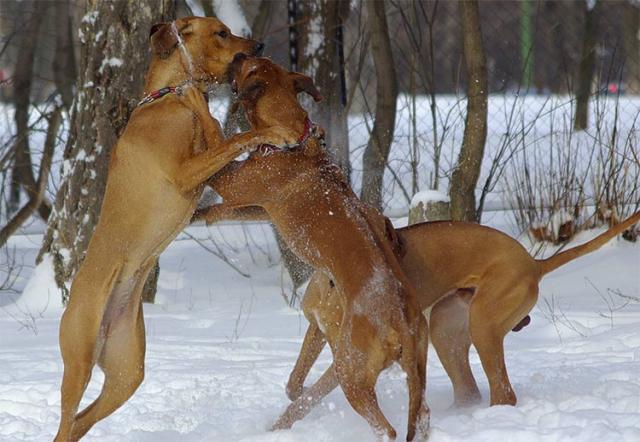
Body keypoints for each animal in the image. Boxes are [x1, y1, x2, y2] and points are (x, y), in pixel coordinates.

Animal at [54, 15, 298, 440]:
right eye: (221, 32)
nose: (260, 45)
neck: (167, 97)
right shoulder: (186, 173)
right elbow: (239, 136)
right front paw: (273, 132)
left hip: (127, 371)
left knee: (83, 420)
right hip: (80, 359)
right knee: (68, 419)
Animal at [188, 57, 432, 440]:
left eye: (249, 66)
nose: (241, 55)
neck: (294, 138)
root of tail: (402, 323)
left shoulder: (237, 181)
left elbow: (217, 141)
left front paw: (197, 101)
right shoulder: (259, 204)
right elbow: (224, 210)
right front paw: (198, 214)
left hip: (352, 374)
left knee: (387, 428)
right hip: (416, 370)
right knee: (420, 414)